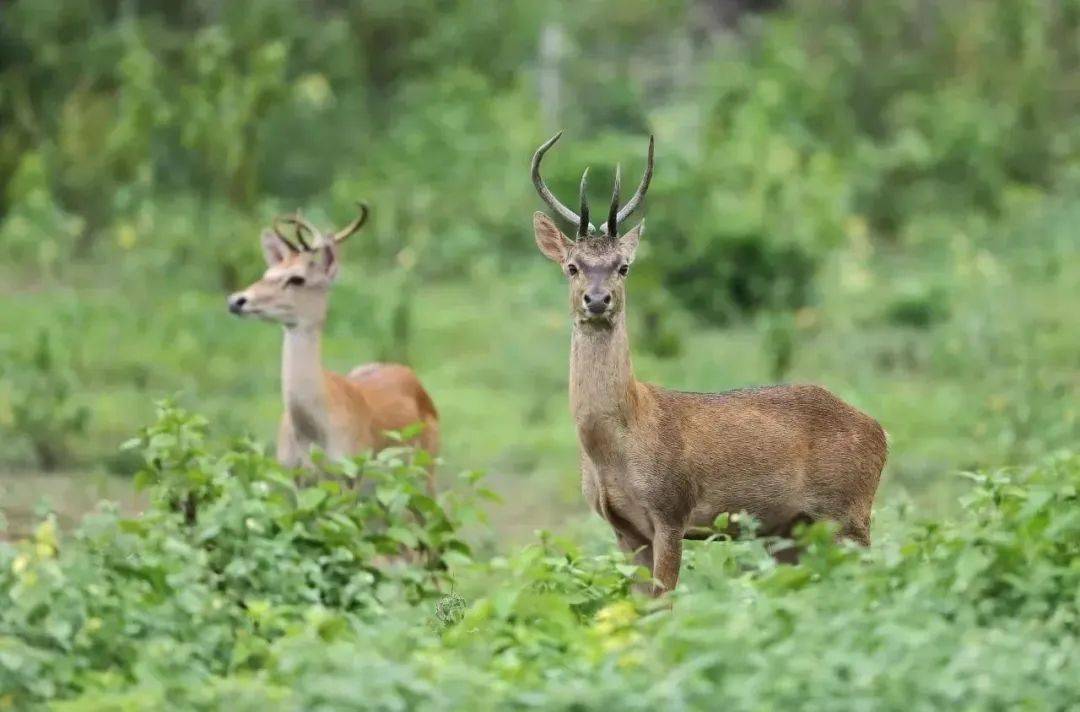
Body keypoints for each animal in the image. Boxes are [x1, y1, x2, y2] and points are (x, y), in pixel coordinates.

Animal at [225, 203, 440, 488]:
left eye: (297, 278)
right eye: (267, 274)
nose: (236, 300)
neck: (313, 432)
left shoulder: (350, 475)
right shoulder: (294, 478)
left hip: (426, 472)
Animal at [529, 133, 885, 596]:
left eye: (623, 267)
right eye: (572, 267)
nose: (597, 299)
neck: (617, 443)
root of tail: (880, 432)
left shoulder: (671, 510)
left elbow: (666, 600)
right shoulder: (624, 529)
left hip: (849, 511)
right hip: (789, 530)